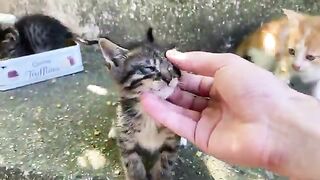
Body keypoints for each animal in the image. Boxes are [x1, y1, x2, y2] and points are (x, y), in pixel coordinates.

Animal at [99, 27, 181, 179]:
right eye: (149, 68)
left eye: (171, 66)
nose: (169, 78)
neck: (149, 114)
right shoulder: (127, 144)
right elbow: (133, 166)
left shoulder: (172, 143)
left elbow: (165, 164)